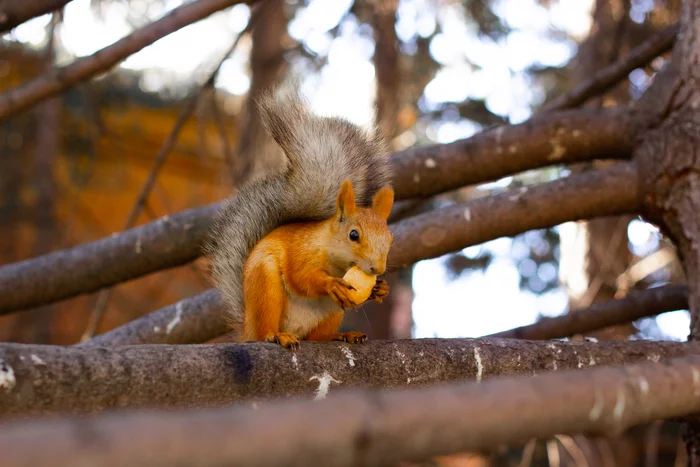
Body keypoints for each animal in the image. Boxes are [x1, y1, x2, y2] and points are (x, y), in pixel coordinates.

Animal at [205, 81, 396, 352]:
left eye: (390, 239)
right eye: (353, 235)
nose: (377, 268)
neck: (338, 261)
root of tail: (248, 329)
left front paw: (380, 289)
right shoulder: (302, 250)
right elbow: (301, 277)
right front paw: (330, 284)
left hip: (331, 314)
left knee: (316, 338)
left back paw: (341, 335)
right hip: (266, 288)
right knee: (267, 328)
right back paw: (276, 336)